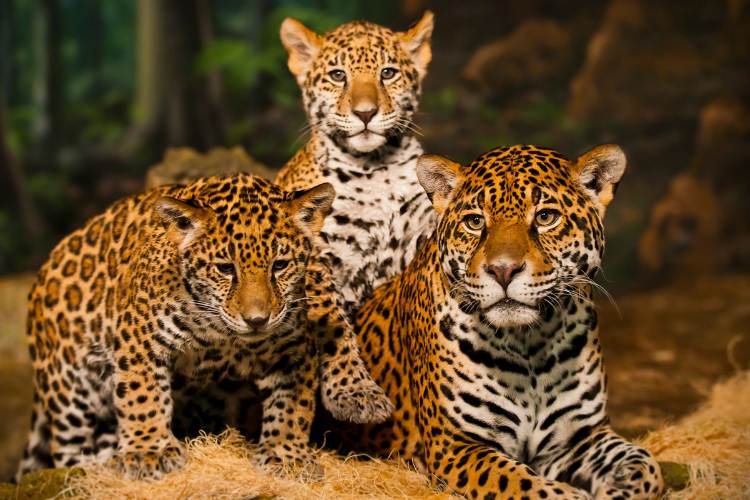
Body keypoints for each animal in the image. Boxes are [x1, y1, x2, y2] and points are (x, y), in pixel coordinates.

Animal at [16, 174, 337, 481]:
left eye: (280, 265)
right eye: (225, 268)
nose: (257, 320)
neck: (222, 334)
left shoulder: (294, 350)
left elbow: (292, 407)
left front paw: (287, 455)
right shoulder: (139, 340)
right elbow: (142, 395)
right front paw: (148, 452)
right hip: (69, 388)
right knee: (68, 444)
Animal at [274, 12, 437, 425]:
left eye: (388, 73)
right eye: (337, 75)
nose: (366, 113)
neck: (374, 170)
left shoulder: (415, 238)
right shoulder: (315, 257)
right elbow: (333, 321)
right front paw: (354, 393)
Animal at [348, 144, 664, 499]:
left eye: (545, 217)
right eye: (474, 222)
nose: (502, 270)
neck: (530, 345)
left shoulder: (580, 437)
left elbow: (645, 464)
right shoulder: (456, 447)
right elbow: (522, 482)